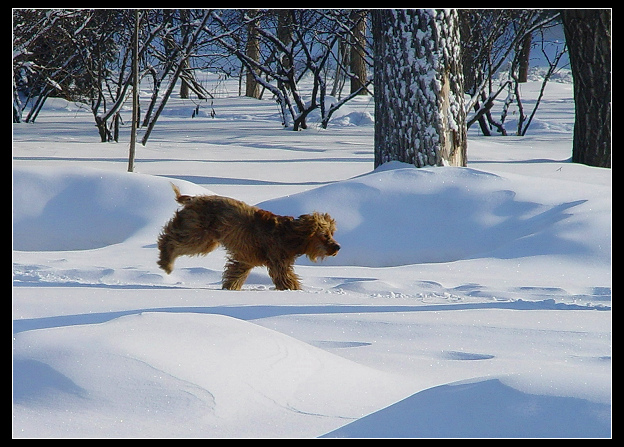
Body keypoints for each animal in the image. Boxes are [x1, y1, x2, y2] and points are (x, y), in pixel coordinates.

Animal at [157, 185, 342, 292]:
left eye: (332, 233)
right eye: (325, 235)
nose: (338, 247)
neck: (291, 236)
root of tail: (194, 199)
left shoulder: (245, 259)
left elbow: (235, 274)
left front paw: (230, 288)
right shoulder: (278, 262)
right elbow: (287, 280)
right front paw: (295, 291)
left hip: (206, 238)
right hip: (199, 235)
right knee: (169, 239)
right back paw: (166, 262)